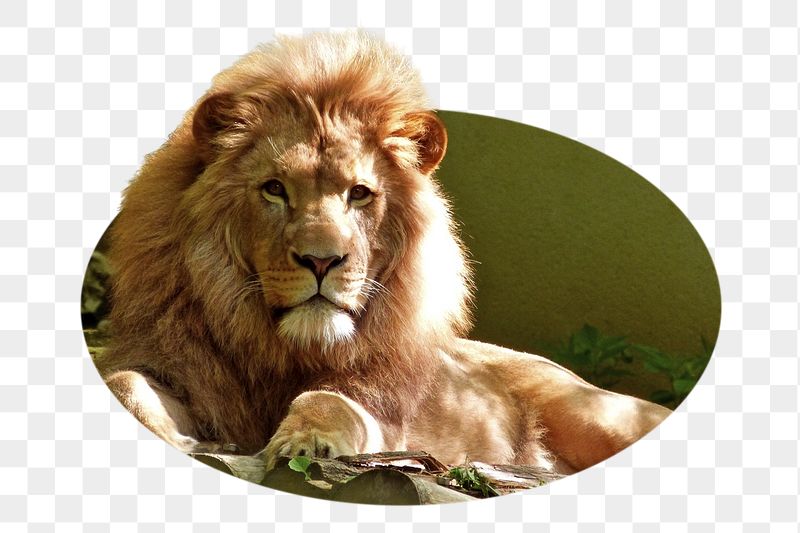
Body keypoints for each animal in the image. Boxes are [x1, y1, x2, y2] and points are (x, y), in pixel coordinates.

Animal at [102, 31, 670, 477]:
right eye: (274, 189)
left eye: (359, 194)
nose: (322, 261)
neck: (281, 350)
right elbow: (124, 382)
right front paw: (177, 439)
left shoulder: (384, 416)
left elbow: (329, 401)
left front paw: (307, 440)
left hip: (595, 413)